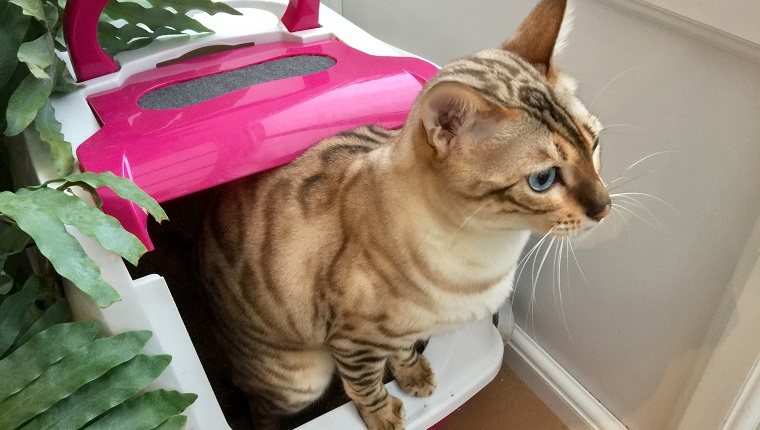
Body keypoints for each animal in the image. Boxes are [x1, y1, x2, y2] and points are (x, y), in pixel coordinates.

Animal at [197, 1, 612, 428]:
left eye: (595, 144)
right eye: (543, 179)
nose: (604, 207)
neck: (489, 251)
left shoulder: (400, 333)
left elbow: (404, 351)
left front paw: (413, 375)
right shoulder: (352, 341)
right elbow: (364, 385)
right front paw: (385, 414)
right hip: (302, 379)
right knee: (260, 408)